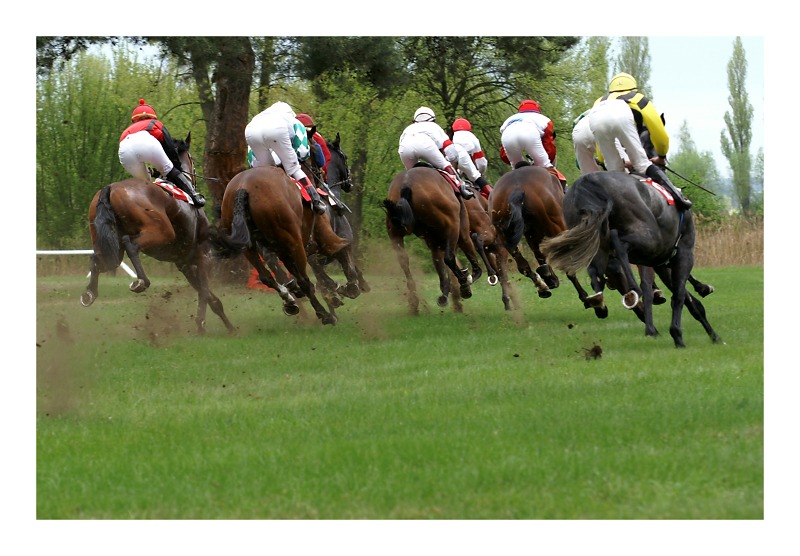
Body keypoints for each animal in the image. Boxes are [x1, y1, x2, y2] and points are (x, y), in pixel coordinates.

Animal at [80, 134, 234, 334]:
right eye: (192, 159)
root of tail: (110, 188)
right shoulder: (203, 255)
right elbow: (205, 292)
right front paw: (204, 324)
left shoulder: (184, 262)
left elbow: (208, 295)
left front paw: (226, 326)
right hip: (161, 232)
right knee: (130, 244)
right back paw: (141, 282)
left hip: (108, 244)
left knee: (99, 259)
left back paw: (90, 293)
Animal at [382, 165, 476, 312]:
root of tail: (406, 185)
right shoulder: (458, 228)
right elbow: (459, 251)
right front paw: (466, 281)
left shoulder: (433, 240)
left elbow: (441, 265)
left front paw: (448, 291)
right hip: (453, 225)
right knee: (449, 258)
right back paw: (464, 283)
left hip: (395, 234)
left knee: (404, 262)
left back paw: (414, 301)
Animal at [540, 173, 720, 348]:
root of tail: (586, 181)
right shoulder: (682, 253)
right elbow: (680, 296)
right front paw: (682, 335)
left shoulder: (659, 263)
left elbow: (683, 296)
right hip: (650, 239)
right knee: (618, 243)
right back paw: (633, 291)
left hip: (595, 239)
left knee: (596, 268)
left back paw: (599, 300)